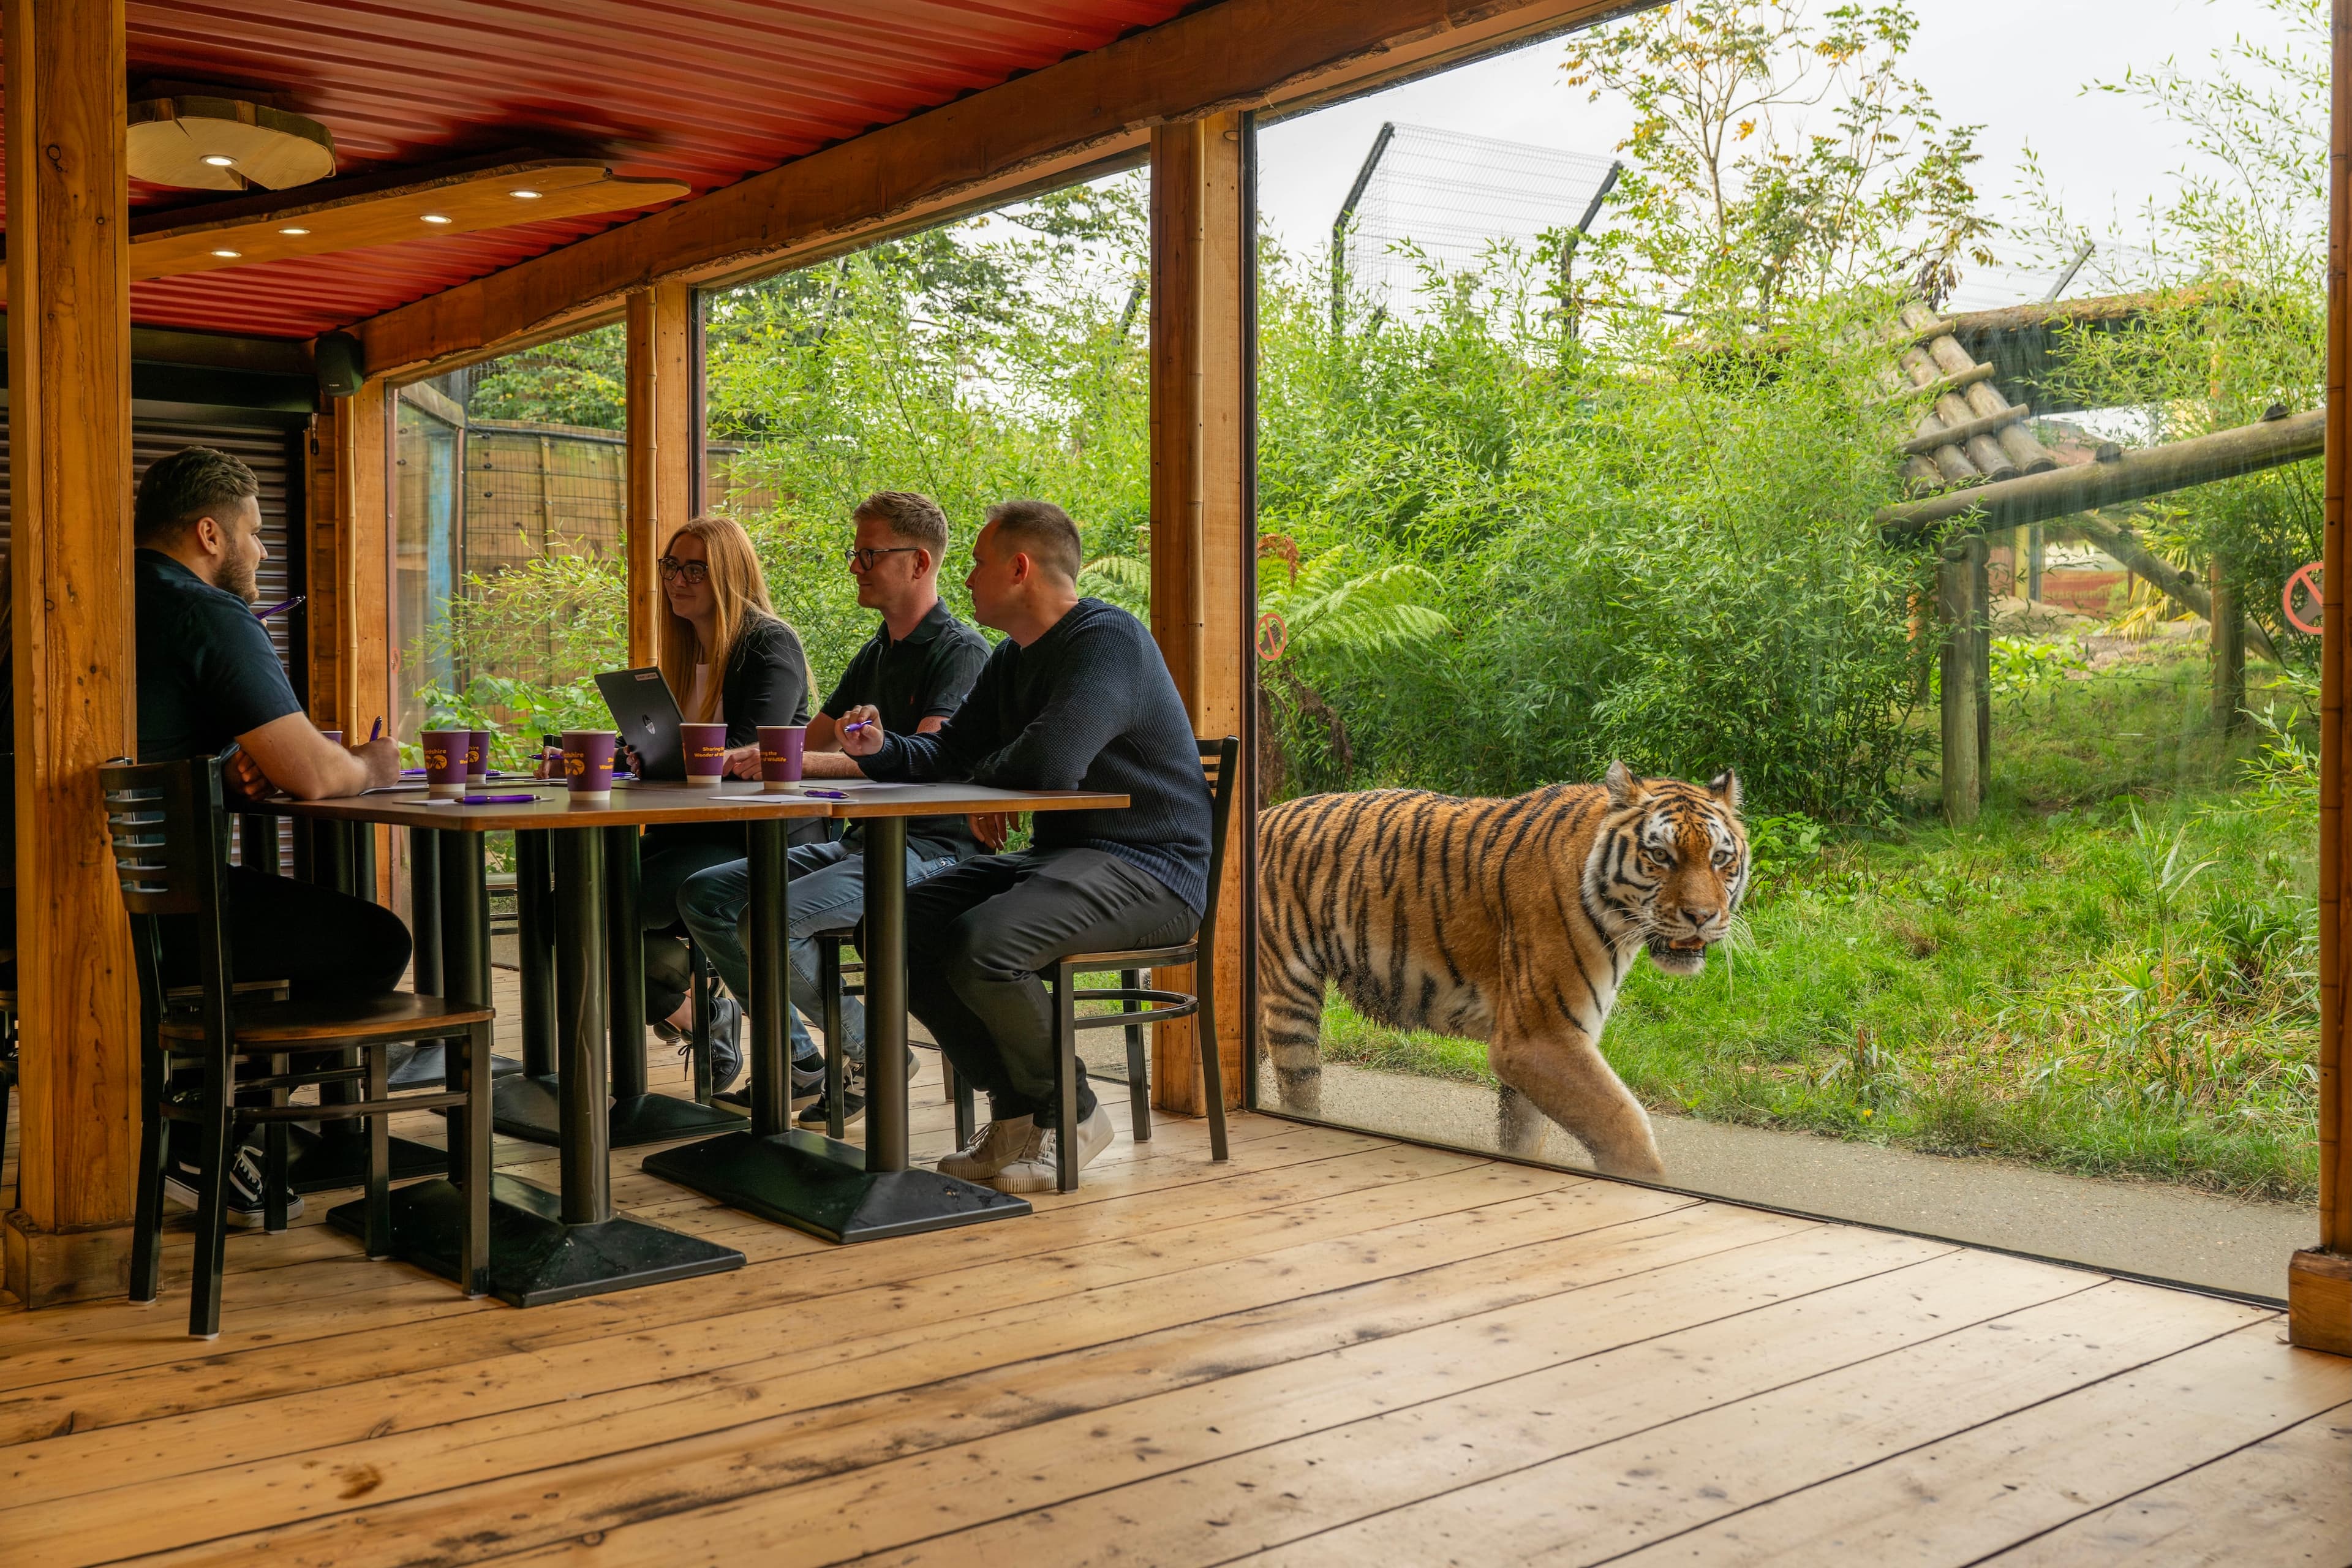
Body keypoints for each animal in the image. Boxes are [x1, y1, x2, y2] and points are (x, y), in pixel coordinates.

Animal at [1255, 763, 1749, 1178]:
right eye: (1660, 856)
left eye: (1720, 859)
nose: (1702, 916)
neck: (1620, 927)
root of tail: (1262, 814)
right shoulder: (1539, 1039)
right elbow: (1624, 1125)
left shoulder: (1543, 1046)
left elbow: (1525, 1135)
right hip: (1291, 998)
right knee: (1299, 1088)